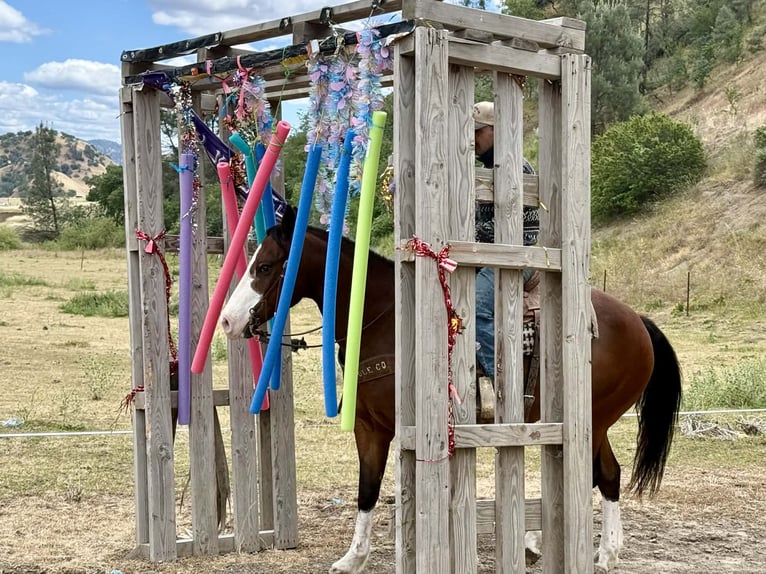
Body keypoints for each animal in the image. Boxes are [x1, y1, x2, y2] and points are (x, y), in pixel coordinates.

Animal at [220, 205, 683, 574]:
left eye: (264, 267)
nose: (228, 321)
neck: (386, 317)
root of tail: (637, 321)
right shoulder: (370, 427)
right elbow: (367, 489)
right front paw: (353, 558)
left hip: (594, 420)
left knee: (601, 474)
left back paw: (590, 550)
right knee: (602, 474)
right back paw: (561, 546)